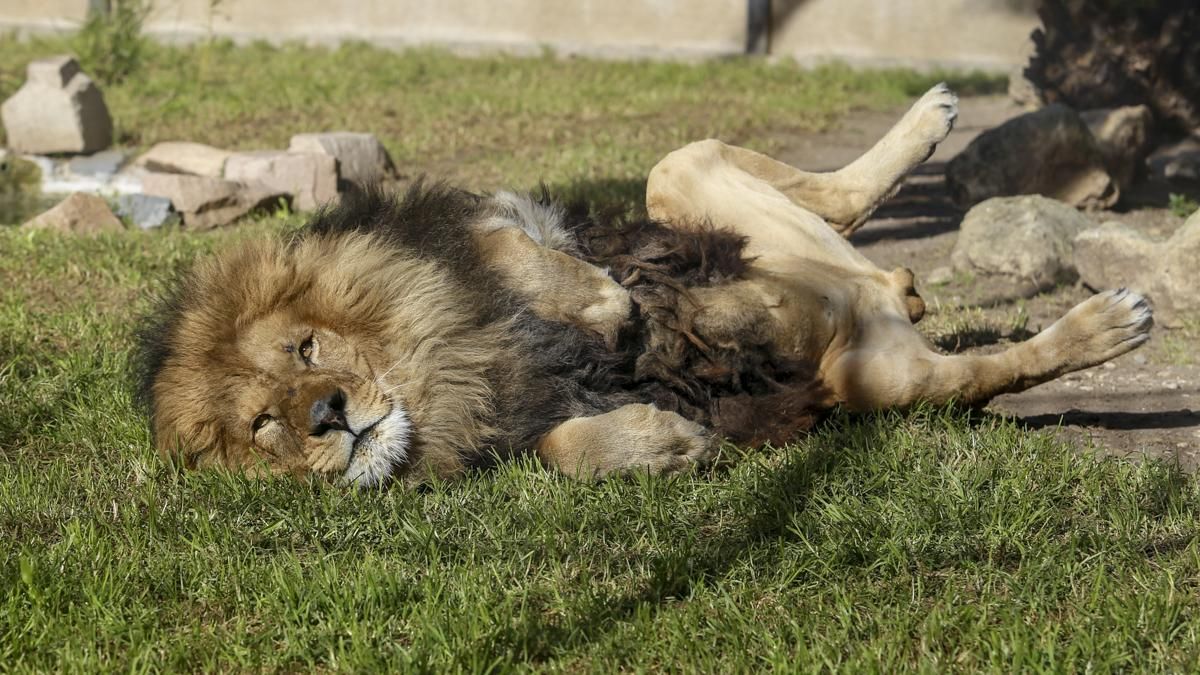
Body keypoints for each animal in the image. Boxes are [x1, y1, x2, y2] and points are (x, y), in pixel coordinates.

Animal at [136, 84, 1153, 487]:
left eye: (305, 347)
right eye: (261, 425)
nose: (326, 416)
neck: (436, 371)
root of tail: (865, 285)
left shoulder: (485, 227)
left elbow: (529, 264)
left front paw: (608, 306)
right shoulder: (518, 424)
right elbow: (563, 449)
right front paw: (668, 442)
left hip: (678, 177)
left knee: (834, 193)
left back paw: (935, 118)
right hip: (877, 377)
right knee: (988, 364)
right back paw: (1100, 325)